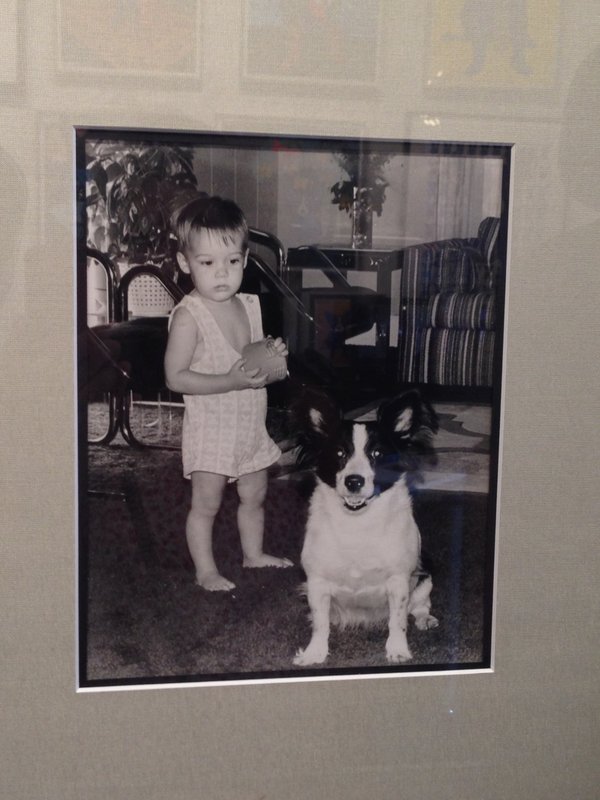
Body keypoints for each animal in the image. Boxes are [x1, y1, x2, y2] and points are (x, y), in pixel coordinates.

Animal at [292, 388, 439, 666]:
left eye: (377, 454)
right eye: (340, 454)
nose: (354, 481)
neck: (357, 523)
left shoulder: (399, 580)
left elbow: (398, 621)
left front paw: (397, 650)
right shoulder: (317, 582)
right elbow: (319, 623)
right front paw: (315, 653)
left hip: (425, 575)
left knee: (419, 606)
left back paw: (425, 618)